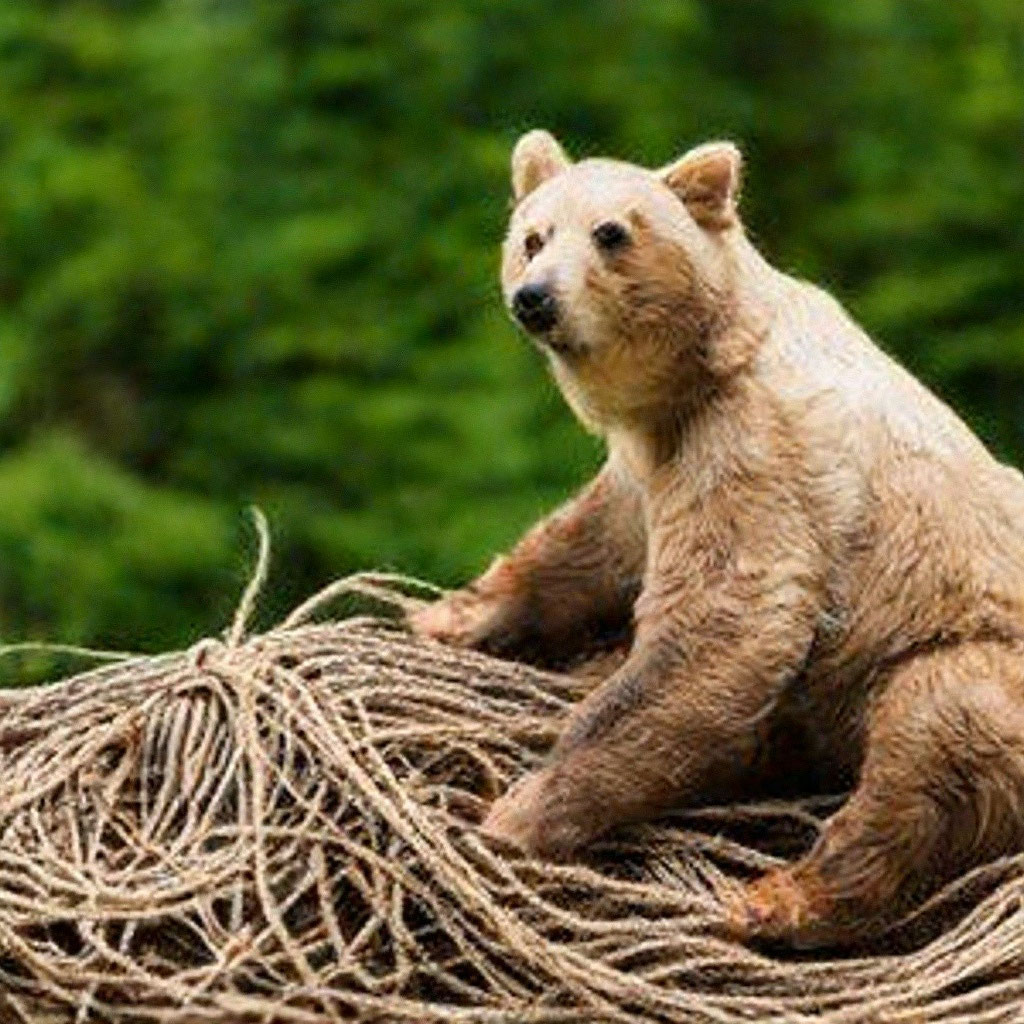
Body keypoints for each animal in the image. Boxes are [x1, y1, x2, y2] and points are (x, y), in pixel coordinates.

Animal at [411, 132, 1024, 946]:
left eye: (611, 232)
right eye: (532, 236)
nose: (535, 298)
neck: (695, 373)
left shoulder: (755, 450)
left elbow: (724, 625)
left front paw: (518, 810)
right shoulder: (650, 461)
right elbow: (591, 541)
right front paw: (450, 614)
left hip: (968, 657)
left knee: (932, 743)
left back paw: (783, 897)